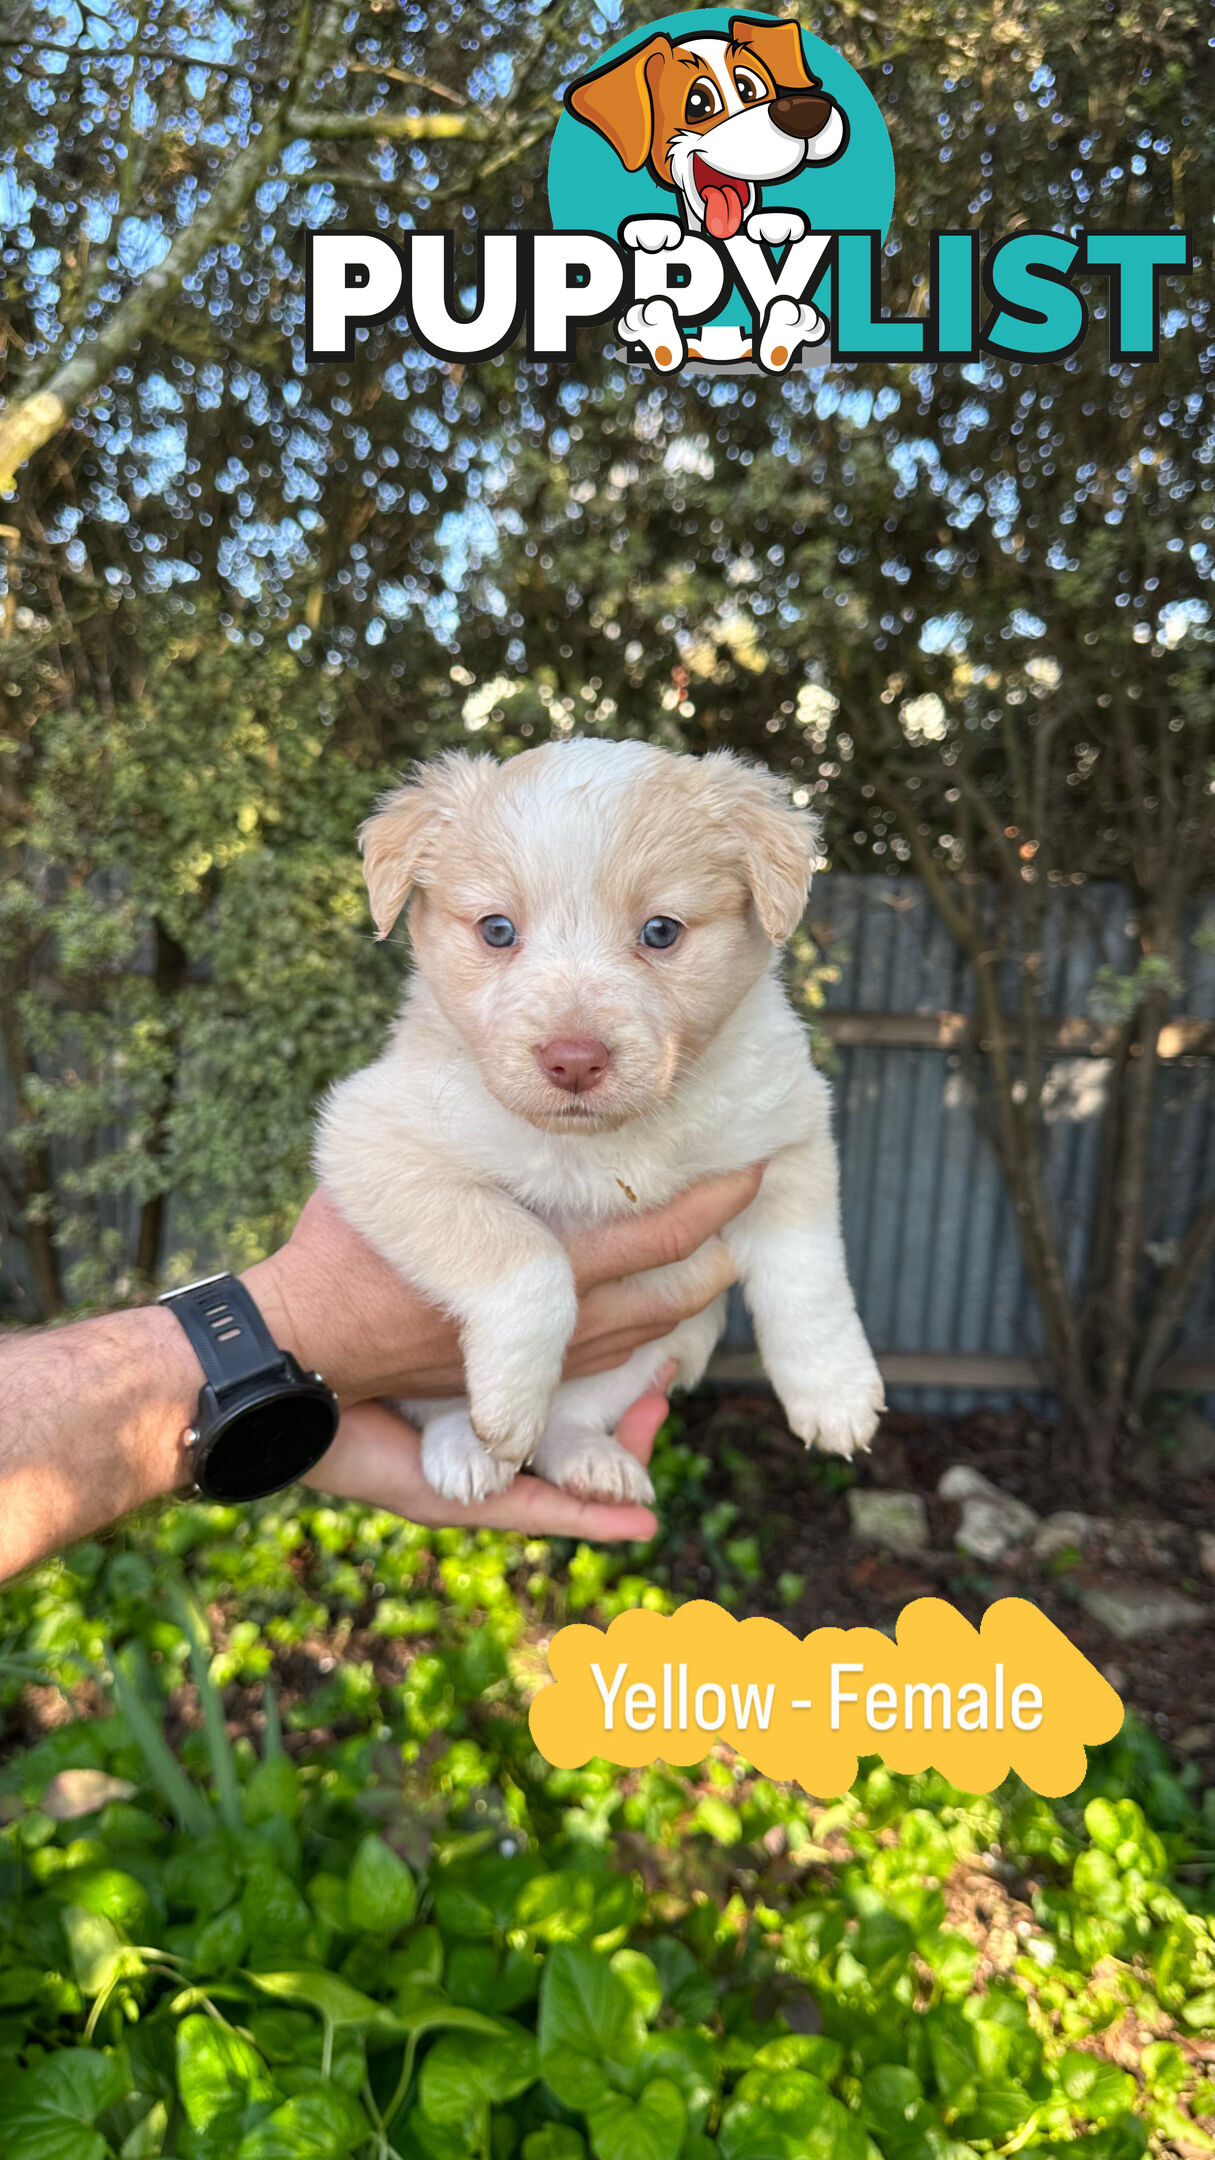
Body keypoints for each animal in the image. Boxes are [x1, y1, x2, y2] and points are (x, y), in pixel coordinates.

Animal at [313, 743, 877, 1503]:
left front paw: (835, 1394)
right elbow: (525, 1258)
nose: (574, 1061)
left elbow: (808, 1280)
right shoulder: (372, 1141)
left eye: (660, 932)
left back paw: (590, 1464)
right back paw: (468, 1450)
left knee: (569, 1421)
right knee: (443, 1411)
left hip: (661, 1347)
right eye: (497, 930)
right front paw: (505, 1411)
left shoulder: (788, 1141)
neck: (607, 1141)